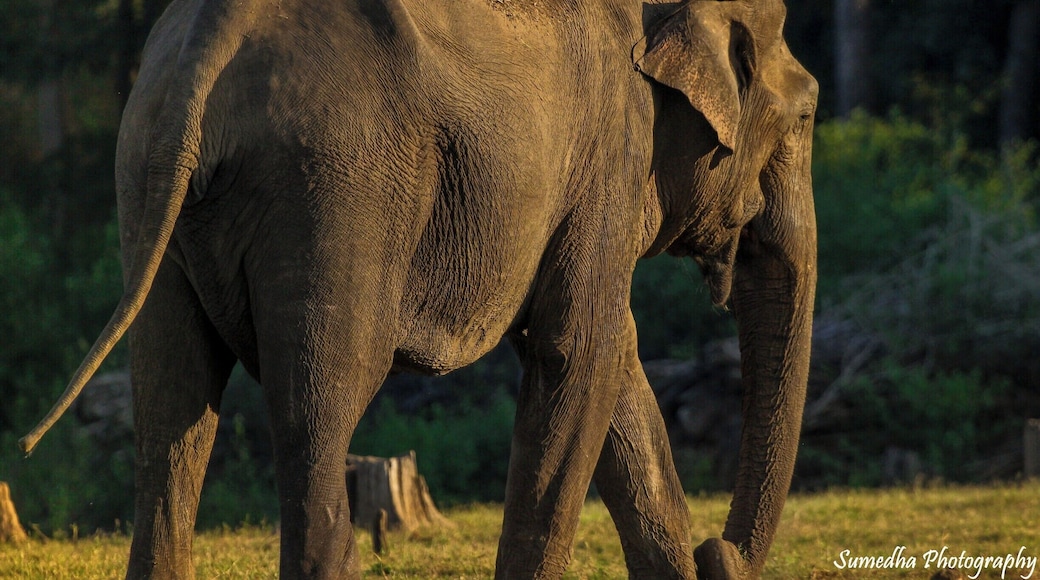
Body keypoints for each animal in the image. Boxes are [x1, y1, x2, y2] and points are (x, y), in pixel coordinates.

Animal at [20, 0, 818, 577]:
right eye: (808, 115)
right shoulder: (609, 157)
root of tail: (203, 43)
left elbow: (615, 367)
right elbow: (576, 354)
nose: (721, 553)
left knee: (170, 413)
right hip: (337, 192)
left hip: (150, 183)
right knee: (318, 412)